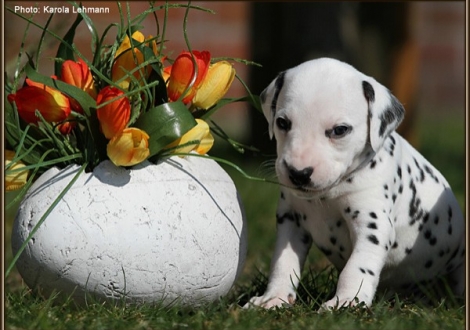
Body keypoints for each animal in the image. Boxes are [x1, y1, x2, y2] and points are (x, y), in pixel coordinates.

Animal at [246, 58, 466, 310]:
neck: (328, 195)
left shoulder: (373, 224)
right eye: (282, 122)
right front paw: (273, 297)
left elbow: (356, 267)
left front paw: (347, 301)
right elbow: (283, 262)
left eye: (340, 130)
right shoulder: (290, 220)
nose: (298, 173)